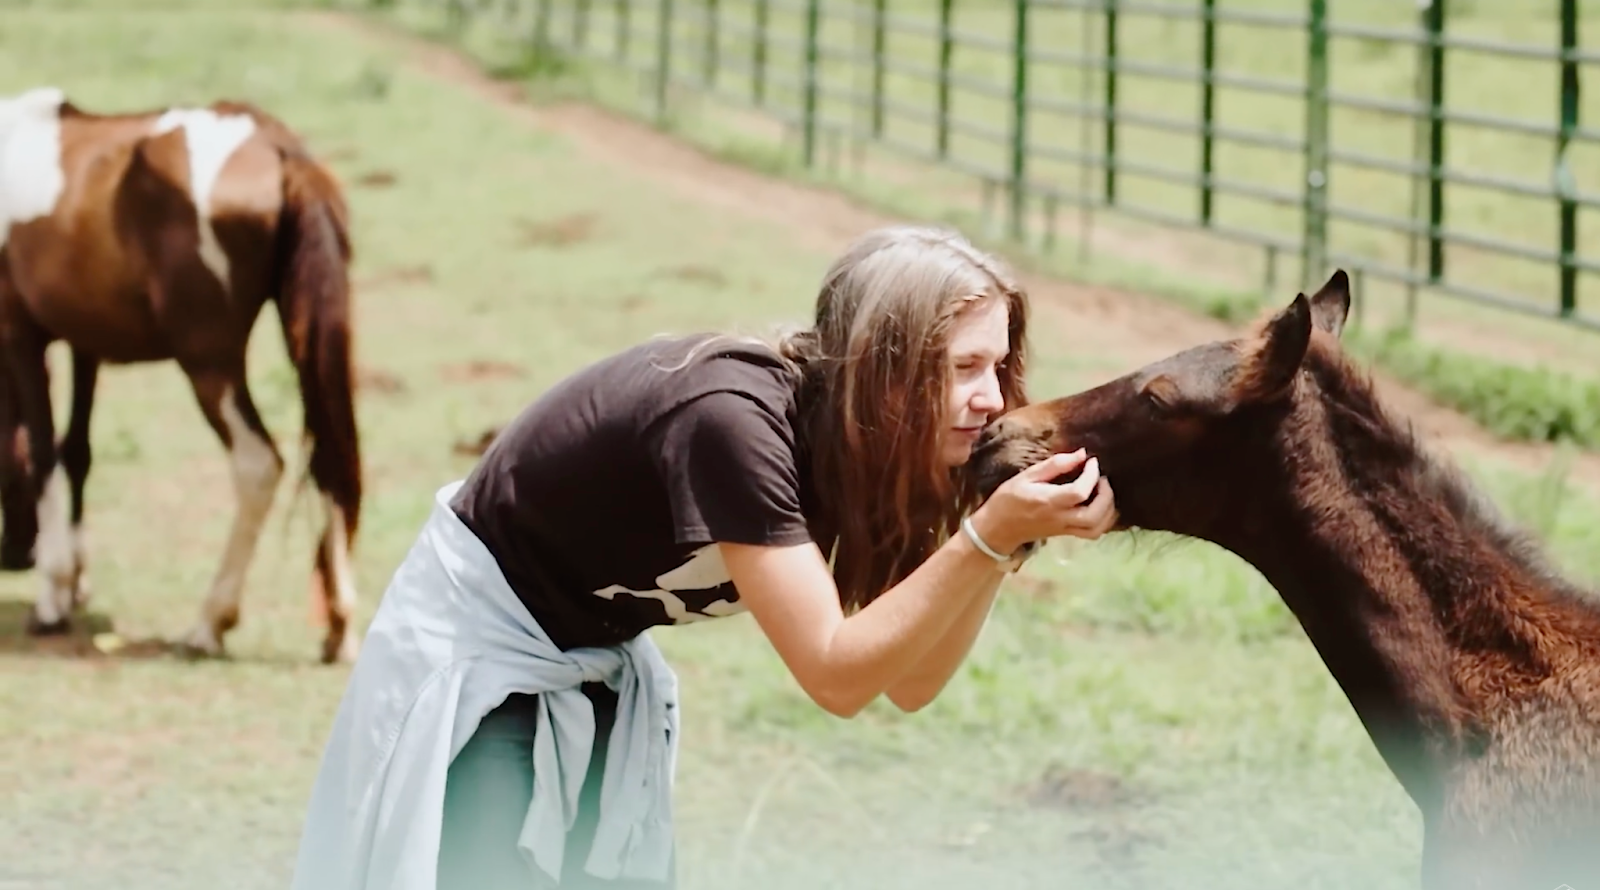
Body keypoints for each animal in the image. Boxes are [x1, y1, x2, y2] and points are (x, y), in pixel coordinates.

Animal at [0, 87, 363, 664]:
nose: (13, 553)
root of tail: (280, 151)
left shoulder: (19, 333)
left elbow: (42, 453)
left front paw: (53, 597)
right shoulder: (86, 343)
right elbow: (76, 452)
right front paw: (76, 581)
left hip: (208, 365)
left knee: (258, 466)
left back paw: (209, 623)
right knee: (329, 462)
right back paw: (341, 626)